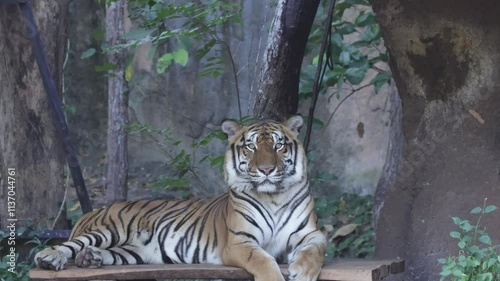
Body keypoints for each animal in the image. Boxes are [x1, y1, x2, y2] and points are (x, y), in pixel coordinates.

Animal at [34, 115, 324, 280]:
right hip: (108, 230)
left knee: (103, 254)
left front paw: (303, 271)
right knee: (69, 246)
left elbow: (315, 250)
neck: (272, 197)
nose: (266, 170)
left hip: (133, 252)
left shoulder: (310, 233)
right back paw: (50, 259)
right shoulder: (240, 242)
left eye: (278, 145)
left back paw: (90, 259)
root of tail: (92, 212)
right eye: (251, 146)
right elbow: (263, 261)